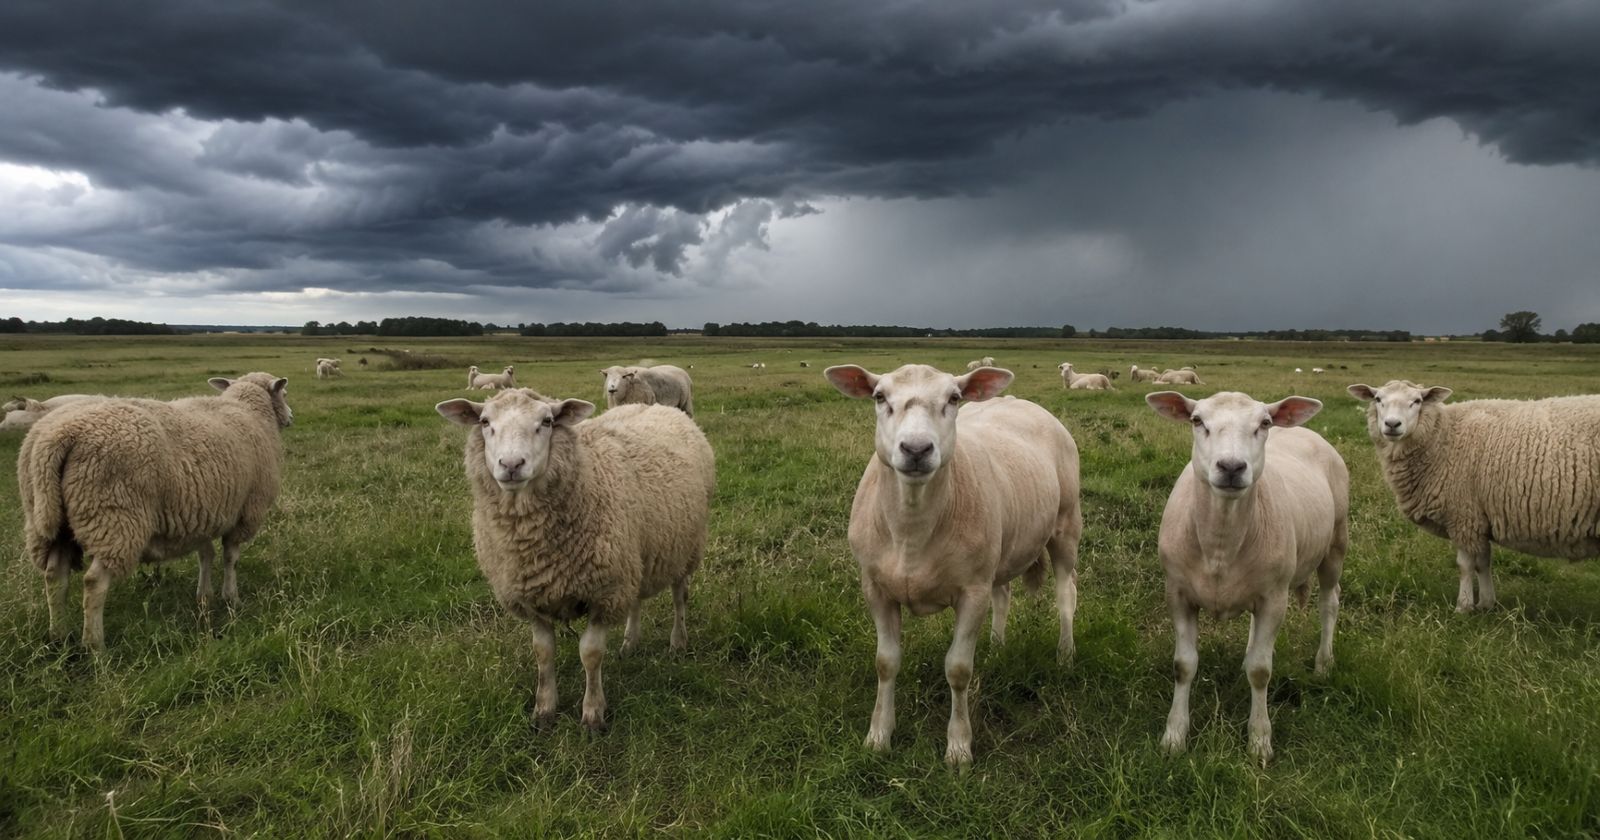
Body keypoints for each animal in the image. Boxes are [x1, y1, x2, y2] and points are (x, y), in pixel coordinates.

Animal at [18, 373, 294, 650]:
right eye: (284, 393)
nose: (291, 417)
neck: (249, 411)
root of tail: (59, 436)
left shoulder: (201, 512)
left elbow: (206, 554)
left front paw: (204, 596)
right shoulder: (246, 511)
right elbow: (230, 558)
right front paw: (231, 598)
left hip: (49, 522)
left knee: (54, 576)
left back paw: (59, 635)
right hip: (115, 518)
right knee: (94, 582)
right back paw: (95, 645)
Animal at [435, 389, 715, 730]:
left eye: (547, 421)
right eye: (485, 422)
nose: (512, 464)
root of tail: (654, 406)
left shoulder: (604, 592)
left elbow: (590, 654)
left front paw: (593, 714)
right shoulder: (533, 597)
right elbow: (542, 653)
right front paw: (544, 711)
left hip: (685, 547)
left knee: (679, 598)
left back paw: (678, 643)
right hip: (633, 554)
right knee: (635, 599)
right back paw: (630, 643)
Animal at [824, 363, 1081, 766]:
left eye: (954, 398)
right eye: (879, 397)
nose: (916, 449)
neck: (911, 533)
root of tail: (1019, 400)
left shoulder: (971, 592)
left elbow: (959, 670)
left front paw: (959, 748)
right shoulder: (875, 587)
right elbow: (886, 662)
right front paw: (879, 736)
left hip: (1067, 525)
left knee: (1066, 594)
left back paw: (1065, 656)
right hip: (1000, 548)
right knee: (1003, 594)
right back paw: (996, 646)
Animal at [1146, 390, 1348, 765]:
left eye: (1264, 423)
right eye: (1197, 420)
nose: (1231, 467)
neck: (1220, 546)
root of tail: (1304, 431)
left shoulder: (1274, 598)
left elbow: (1261, 671)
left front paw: (1259, 741)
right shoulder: (1178, 594)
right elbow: (1184, 665)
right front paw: (1174, 736)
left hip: (1336, 542)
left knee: (1330, 602)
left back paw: (1323, 663)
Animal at [1348, 380, 1600, 611]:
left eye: (1417, 401)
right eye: (1378, 399)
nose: (1392, 424)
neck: (1444, 436)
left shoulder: (1463, 515)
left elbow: (1466, 565)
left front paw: (1464, 606)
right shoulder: (1478, 518)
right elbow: (1483, 562)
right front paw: (1487, 603)